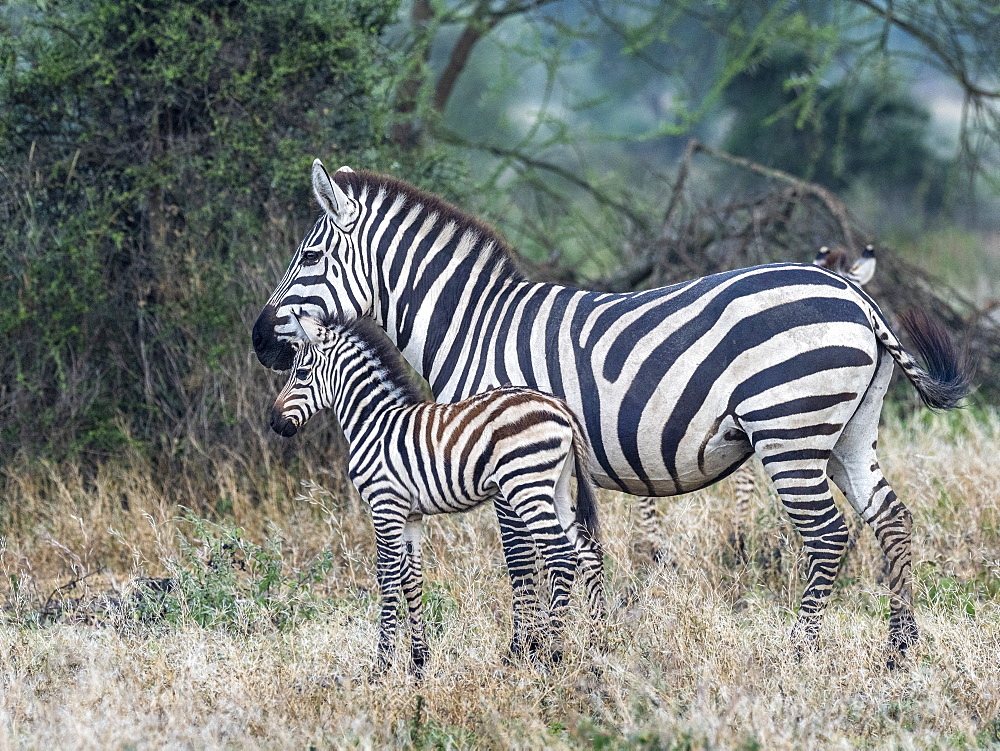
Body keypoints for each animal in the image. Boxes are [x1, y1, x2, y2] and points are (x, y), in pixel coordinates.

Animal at [270, 314, 604, 672]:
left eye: (302, 373)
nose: (274, 423)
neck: (374, 424)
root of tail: (559, 405)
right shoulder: (411, 514)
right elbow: (412, 580)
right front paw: (419, 661)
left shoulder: (384, 505)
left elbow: (388, 578)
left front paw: (382, 663)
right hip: (556, 488)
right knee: (586, 551)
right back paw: (598, 645)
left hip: (525, 484)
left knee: (560, 554)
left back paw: (554, 653)